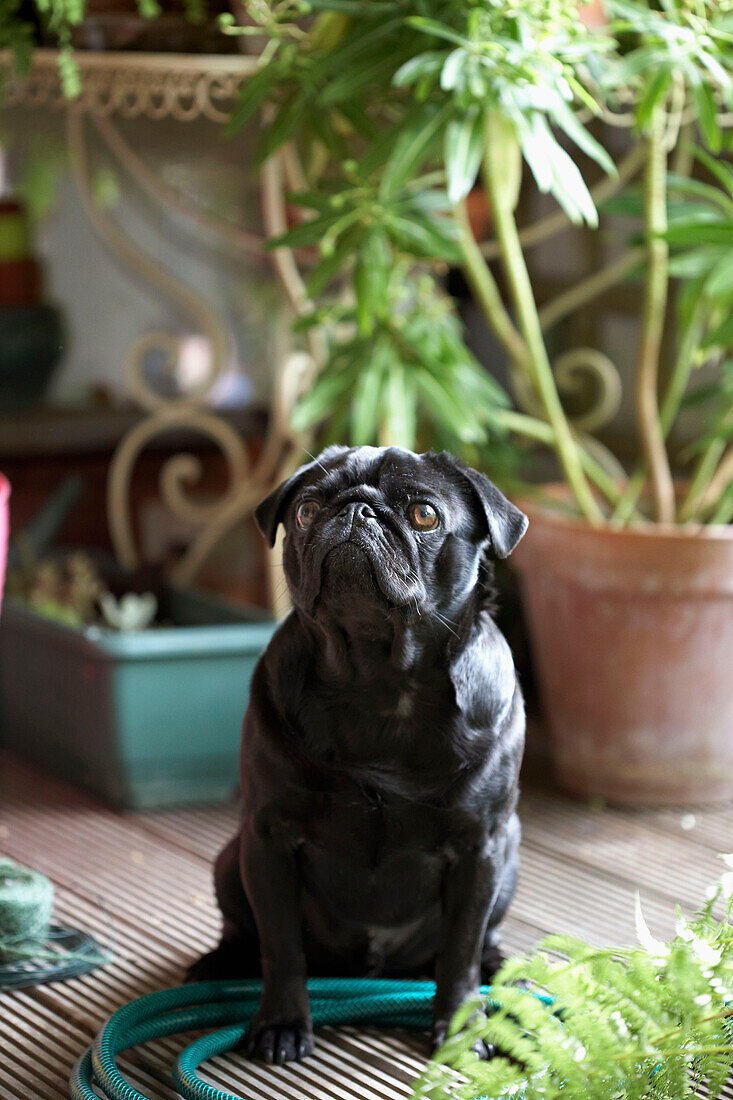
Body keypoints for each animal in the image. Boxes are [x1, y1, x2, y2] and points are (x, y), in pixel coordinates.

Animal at [189, 444, 526, 1064]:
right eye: (305, 510)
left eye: (423, 514)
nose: (357, 509)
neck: (379, 681)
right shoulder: (268, 838)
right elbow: (281, 948)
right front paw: (282, 1023)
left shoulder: (480, 847)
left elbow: (460, 953)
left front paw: (460, 1027)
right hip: (232, 859)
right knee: (246, 931)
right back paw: (219, 962)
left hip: (508, 859)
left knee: (476, 941)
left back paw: (499, 964)